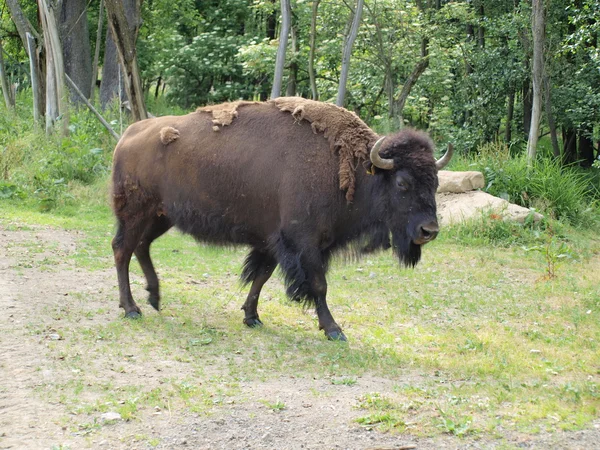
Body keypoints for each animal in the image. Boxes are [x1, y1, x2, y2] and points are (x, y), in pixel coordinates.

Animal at [111, 96, 450, 342]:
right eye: (402, 183)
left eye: (434, 182)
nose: (429, 230)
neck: (353, 169)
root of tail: (128, 134)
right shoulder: (304, 242)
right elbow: (318, 285)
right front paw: (334, 330)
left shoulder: (272, 241)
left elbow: (261, 276)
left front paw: (252, 317)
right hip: (136, 213)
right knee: (122, 250)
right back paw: (132, 308)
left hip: (161, 216)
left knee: (140, 247)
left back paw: (154, 297)